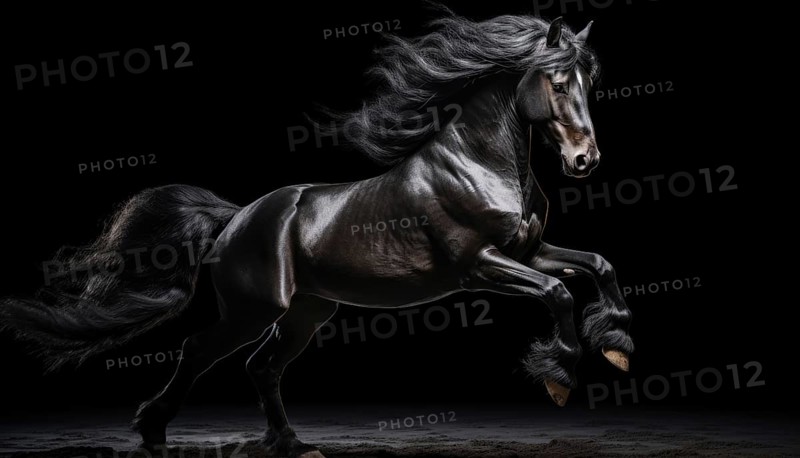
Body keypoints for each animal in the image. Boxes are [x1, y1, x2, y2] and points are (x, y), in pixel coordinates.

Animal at [1, 10, 633, 458]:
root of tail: (236, 218)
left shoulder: (529, 250)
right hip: (253, 309)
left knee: (262, 367)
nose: (585, 161)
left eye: (589, 81)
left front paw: (617, 345)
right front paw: (560, 377)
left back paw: (293, 446)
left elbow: (598, 265)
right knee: (199, 349)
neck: (481, 164)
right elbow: (558, 293)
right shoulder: (480, 264)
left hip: (305, 311)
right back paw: (153, 430)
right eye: (557, 82)